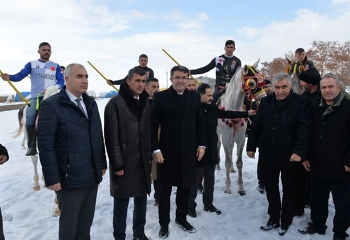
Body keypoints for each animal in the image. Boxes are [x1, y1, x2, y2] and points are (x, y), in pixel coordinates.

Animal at [219, 58, 266, 195]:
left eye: (262, 80)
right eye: (252, 83)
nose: (264, 98)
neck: (232, 109)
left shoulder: (240, 139)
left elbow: (239, 162)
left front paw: (240, 188)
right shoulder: (225, 138)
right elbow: (227, 161)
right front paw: (228, 187)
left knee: (231, 151)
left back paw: (232, 169)